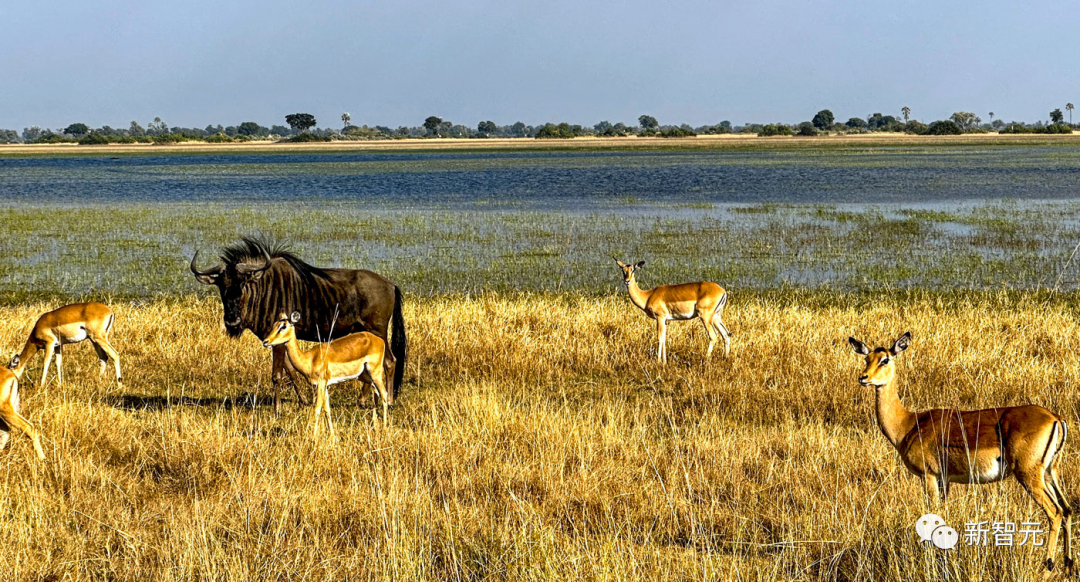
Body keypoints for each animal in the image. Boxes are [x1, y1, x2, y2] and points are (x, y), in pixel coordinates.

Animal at [259, 308, 390, 436]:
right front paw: (332, 436)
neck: (310, 359)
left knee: (384, 394)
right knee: (376, 393)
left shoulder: (320, 384)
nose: (266, 341)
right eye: (274, 325)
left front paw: (313, 438)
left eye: (283, 326)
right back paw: (375, 426)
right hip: (365, 376)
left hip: (375, 373)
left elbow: (317, 409)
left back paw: (384, 428)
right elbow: (327, 409)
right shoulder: (324, 385)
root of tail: (379, 340)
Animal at [851, 332, 1071, 574]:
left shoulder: (929, 476)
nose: (863, 378)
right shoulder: (944, 480)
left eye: (885, 359)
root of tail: (1055, 417)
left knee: (1055, 511)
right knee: (1067, 509)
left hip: (1029, 474)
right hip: (1050, 473)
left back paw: (1048, 566)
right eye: (866, 358)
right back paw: (1068, 564)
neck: (908, 424)